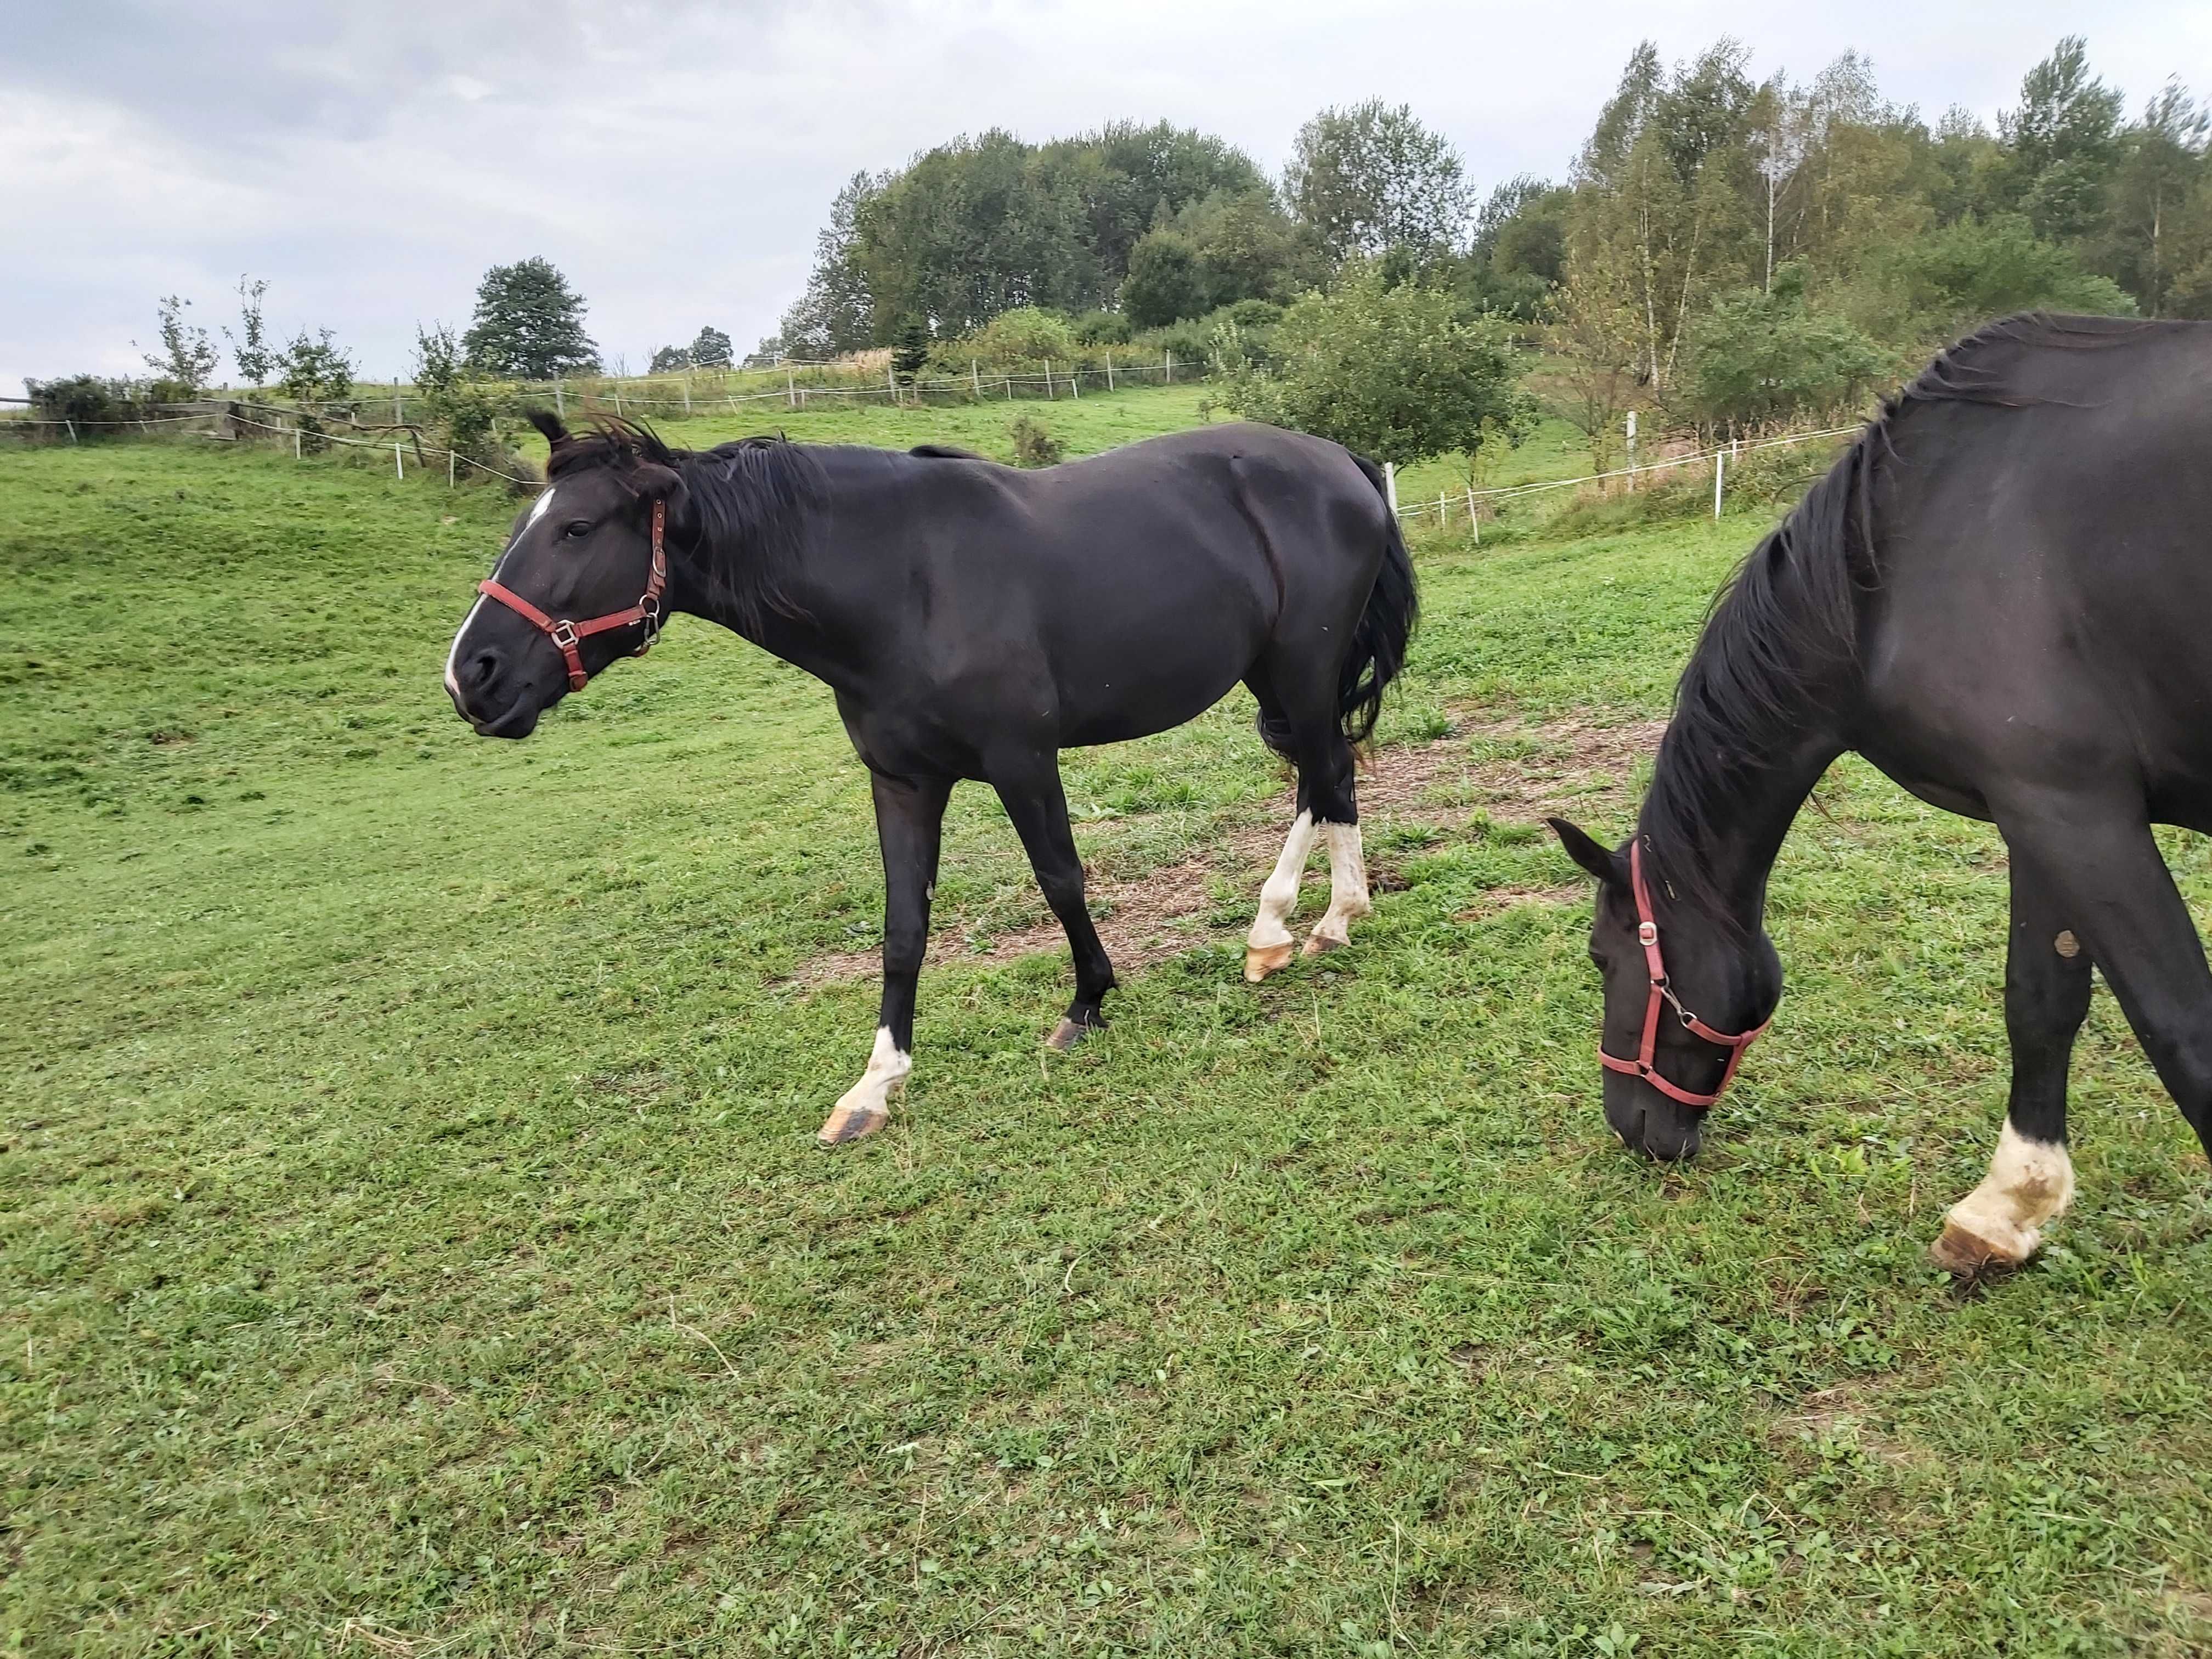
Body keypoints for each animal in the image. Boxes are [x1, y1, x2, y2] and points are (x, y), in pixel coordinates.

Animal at [444, 409, 1415, 1150]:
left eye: (576, 529)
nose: (471, 676)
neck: (900, 581)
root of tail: (1340, 461)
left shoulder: (1023, 761)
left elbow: (1061, 878)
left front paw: (1088, 1004)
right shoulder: (902, 781)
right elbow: (903, 928)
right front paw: (874, 1085)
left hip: (1301, 668)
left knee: (1325, 774)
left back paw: (1304, 924)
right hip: (1276, 675)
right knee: (1324, 779)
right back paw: (1305, 924)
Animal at [1548, 318, 2212, 1283]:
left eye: (1602, 959)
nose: (1630, 1128)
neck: (1890, 568)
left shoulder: (2077, 815)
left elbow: (2182, 1032)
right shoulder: (2042, 811)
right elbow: (2041, 1002)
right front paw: (2005, 1211)